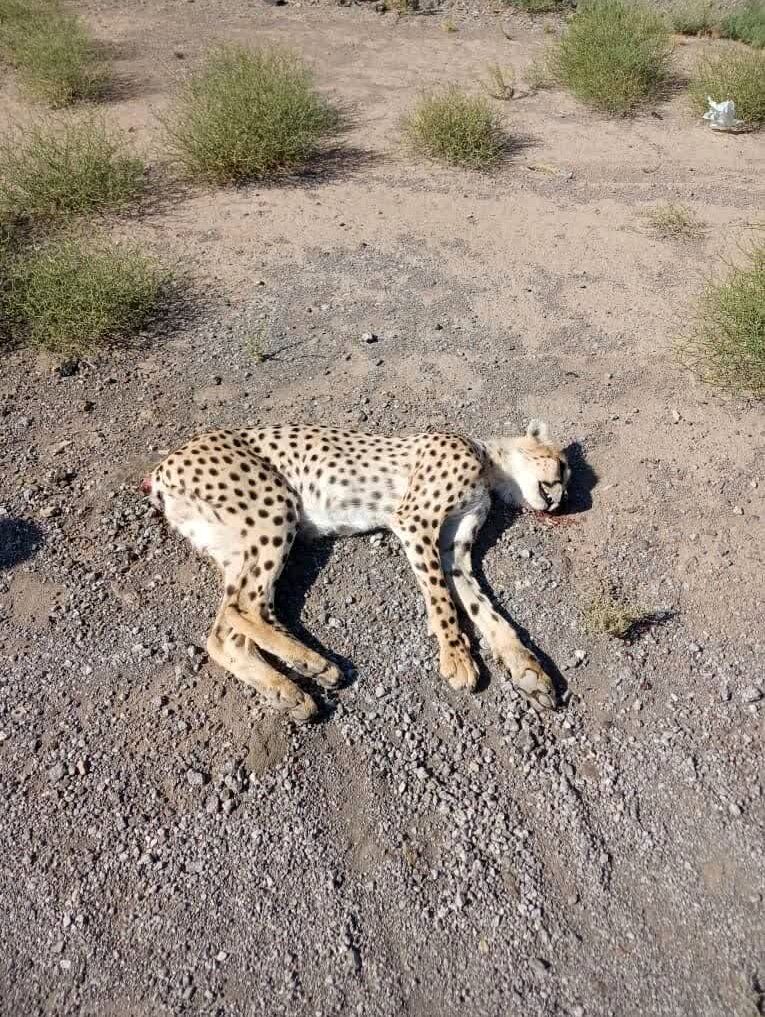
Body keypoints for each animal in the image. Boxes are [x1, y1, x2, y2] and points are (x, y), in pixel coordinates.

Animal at [143, 419, 569, 724]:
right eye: (563, 468)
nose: (560, 502)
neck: (490, 466)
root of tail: (164, 464)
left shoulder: (455, 552)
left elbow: (485, 610)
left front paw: (526, 668)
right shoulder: (413, 521)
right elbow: (441, 599)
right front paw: (457, 657)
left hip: (237, 543)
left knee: (223, 633)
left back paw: (288, 693)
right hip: (274, 506)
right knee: (244, 608)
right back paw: (316, 666)